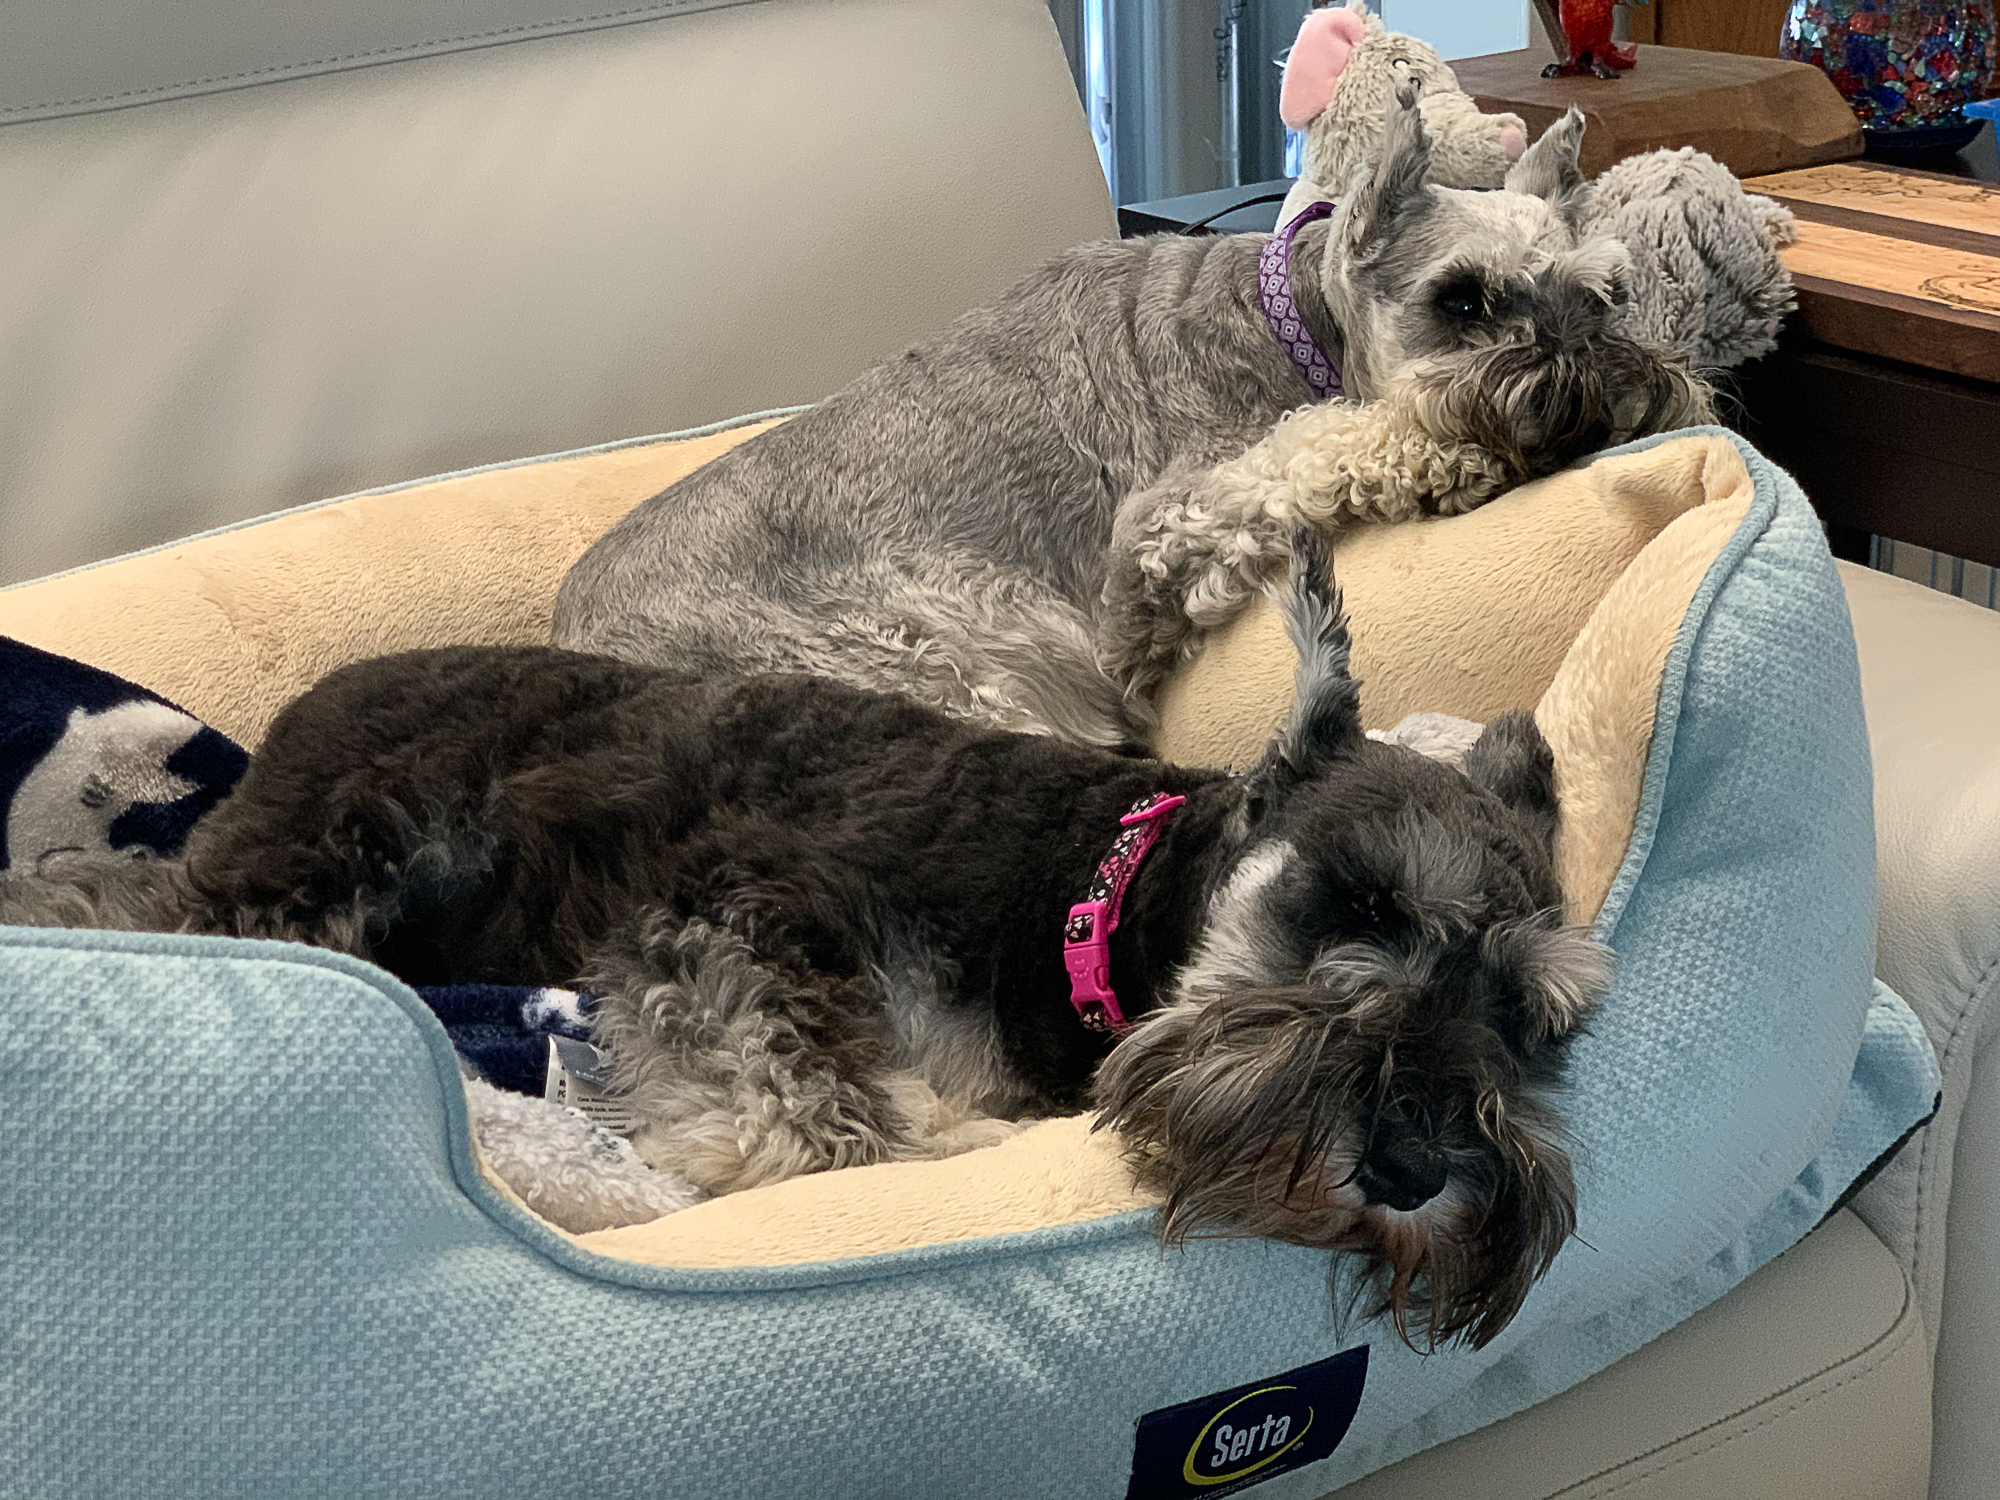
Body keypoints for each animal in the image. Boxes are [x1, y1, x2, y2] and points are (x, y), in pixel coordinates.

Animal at [3, 532, 1610, 1348]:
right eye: (1359, 902)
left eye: (1530, 1018)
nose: (1412, 1167)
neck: (1082, 896)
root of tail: (296, 714)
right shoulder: (739, 921)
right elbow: (821, 1127)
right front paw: (913, 1137)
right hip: (337, 864)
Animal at [552, 90, 1709, 749]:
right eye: (1461, 301)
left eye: (1602, 297)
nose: (1598, 384)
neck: (1289, 319)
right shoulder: (1172, 514)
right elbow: (1309, 452)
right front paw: (1439, 452)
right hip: (955, 666)